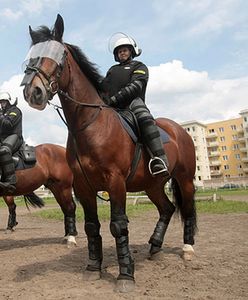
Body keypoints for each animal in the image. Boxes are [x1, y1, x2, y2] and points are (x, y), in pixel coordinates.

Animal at [20, 15, 196, 292]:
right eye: (30, 56)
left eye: (59, 55)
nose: (32, 92)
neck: (91, 125)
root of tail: (179, 130)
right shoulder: (83, 186)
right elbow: (92, 226)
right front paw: (93, 268)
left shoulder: (115, 183)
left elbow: (118, 225)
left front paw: (125, 276)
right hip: (153, 185)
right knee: (167, 209)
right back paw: (155, 247)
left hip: (185, 179)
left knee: (187, 209)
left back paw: (187, 249)